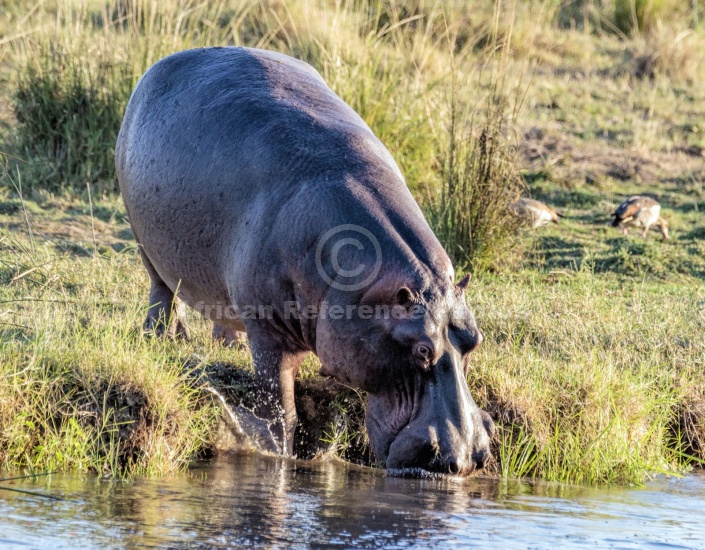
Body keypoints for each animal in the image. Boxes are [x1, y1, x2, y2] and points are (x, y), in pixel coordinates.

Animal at [115, 47, 492, 476]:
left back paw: (227, 345)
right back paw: (164, 336)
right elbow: (283, 412)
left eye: (475, 340)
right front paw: (266, 448)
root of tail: (169, 60)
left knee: (219, 315)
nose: (463, 459)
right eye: (422, 351)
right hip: (145, 244)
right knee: (161, 290)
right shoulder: (270, 332)